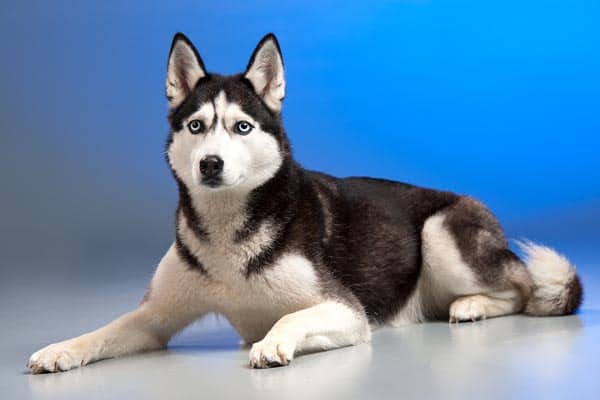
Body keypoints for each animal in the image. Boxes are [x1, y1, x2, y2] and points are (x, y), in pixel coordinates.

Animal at [27, 32, 580, 374]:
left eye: (242, 127)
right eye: (196, 126)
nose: (210, 164)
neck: (228, 234)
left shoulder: (345, 311)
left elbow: (292, 318)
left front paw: (272, 341)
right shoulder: (155, 316)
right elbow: (105, 330)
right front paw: (61, 349)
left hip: (440, 233)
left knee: (523, 289)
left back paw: (473, 305)